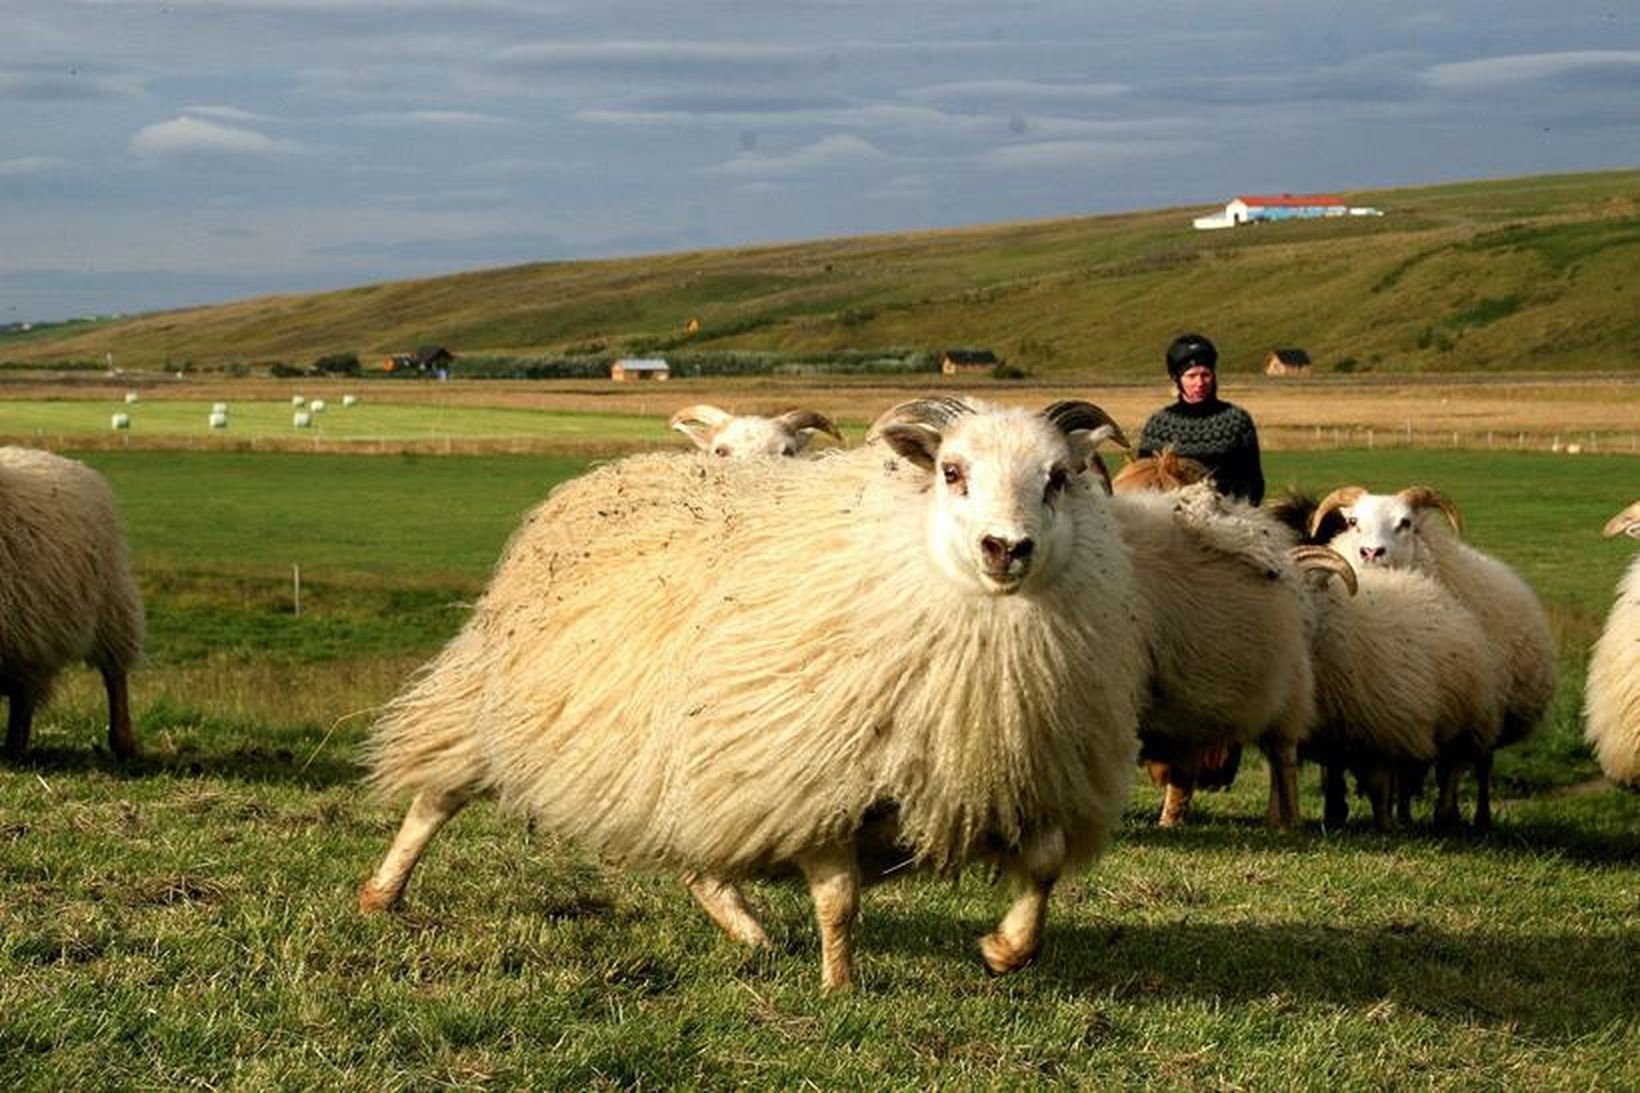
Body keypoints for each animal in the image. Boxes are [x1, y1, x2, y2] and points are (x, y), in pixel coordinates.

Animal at [1305, 485, 1561, 827]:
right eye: (1353, 522)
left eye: (1406, 523)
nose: (1371, 552)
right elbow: (1337, 762)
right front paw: (1335, 812)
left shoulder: (1469, 703)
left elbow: (1451, 768)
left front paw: (1446, 817)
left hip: (1487, 714)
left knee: (1479, 766)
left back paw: (1477, 818)